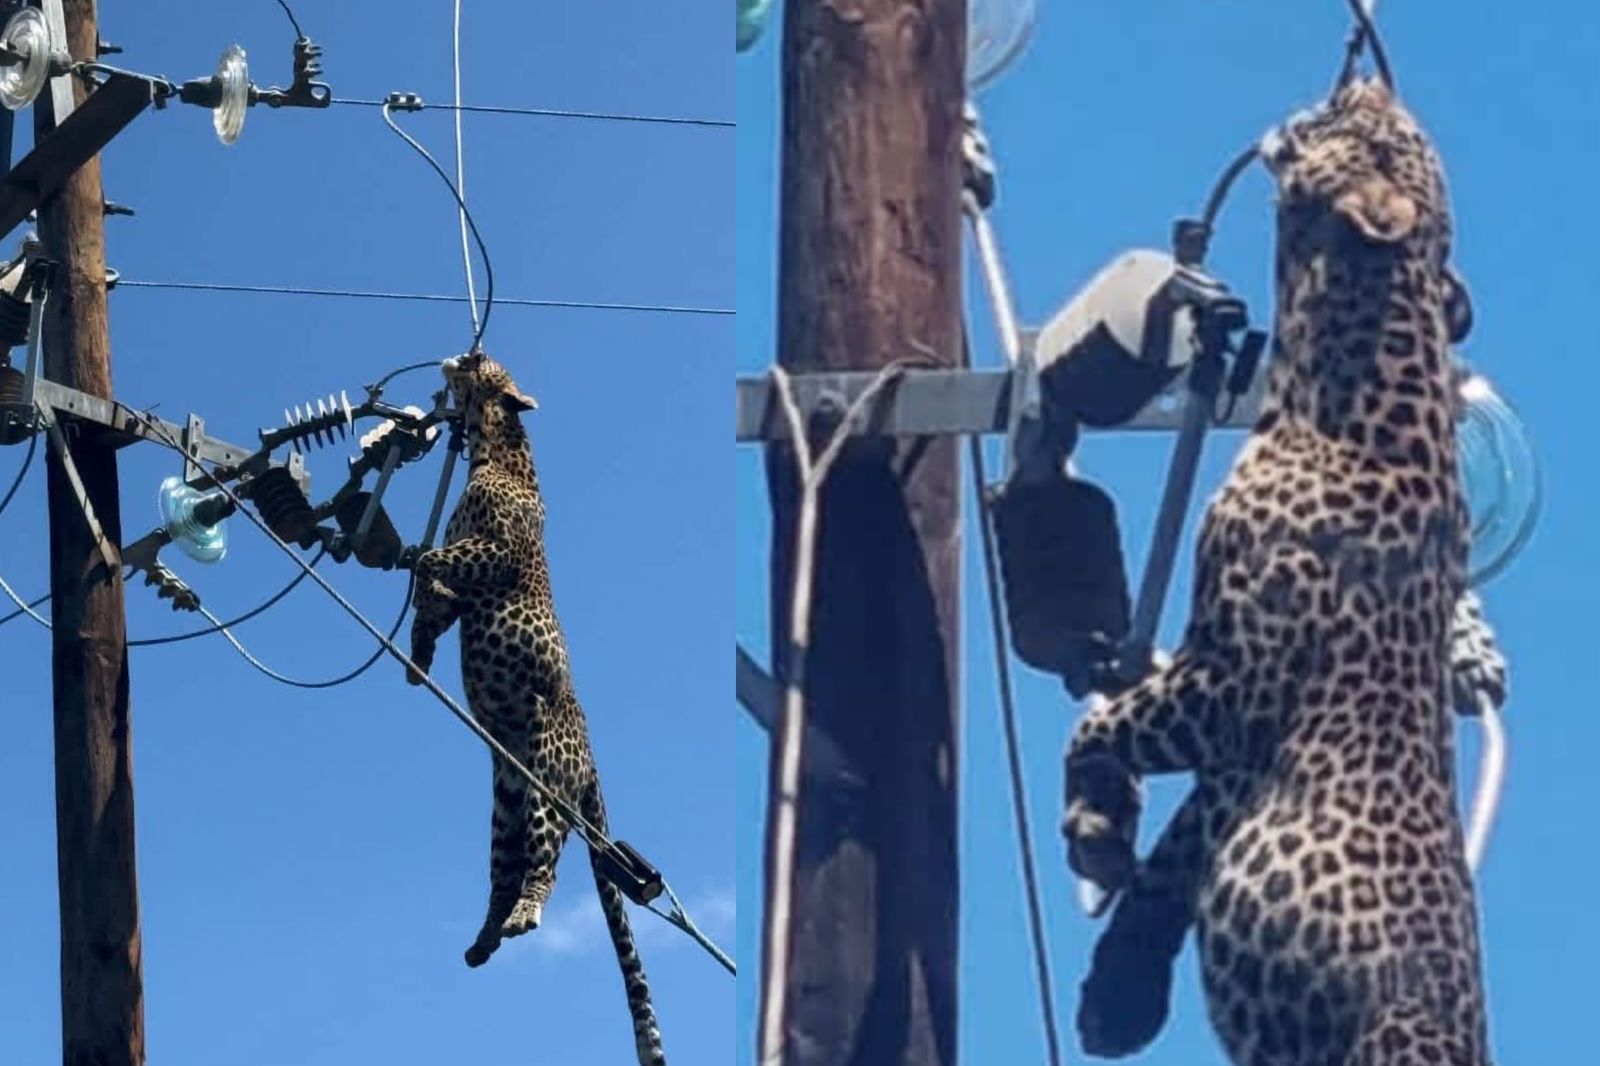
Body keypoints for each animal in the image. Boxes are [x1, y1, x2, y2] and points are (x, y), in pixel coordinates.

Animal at [406, 350, 666, 1065]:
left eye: (479, 363)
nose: (455, 357)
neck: (495, 451)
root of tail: (592, 759)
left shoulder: (493, 552)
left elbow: (437, 558)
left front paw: (421, 585)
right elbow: (435, 590)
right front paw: (418, 650)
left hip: (549, 783)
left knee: (544, 866)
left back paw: (525, 916)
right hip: (506, 804)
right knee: (503, 874)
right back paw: (484, 938)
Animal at [1060, 76, 1493, 1065]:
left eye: (1380, 134)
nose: (1368, 79)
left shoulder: (1237, 676)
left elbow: (1102, 727)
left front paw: (1092, 824)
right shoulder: (1229, 736)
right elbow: (1178, 849)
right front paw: (1119, 990)